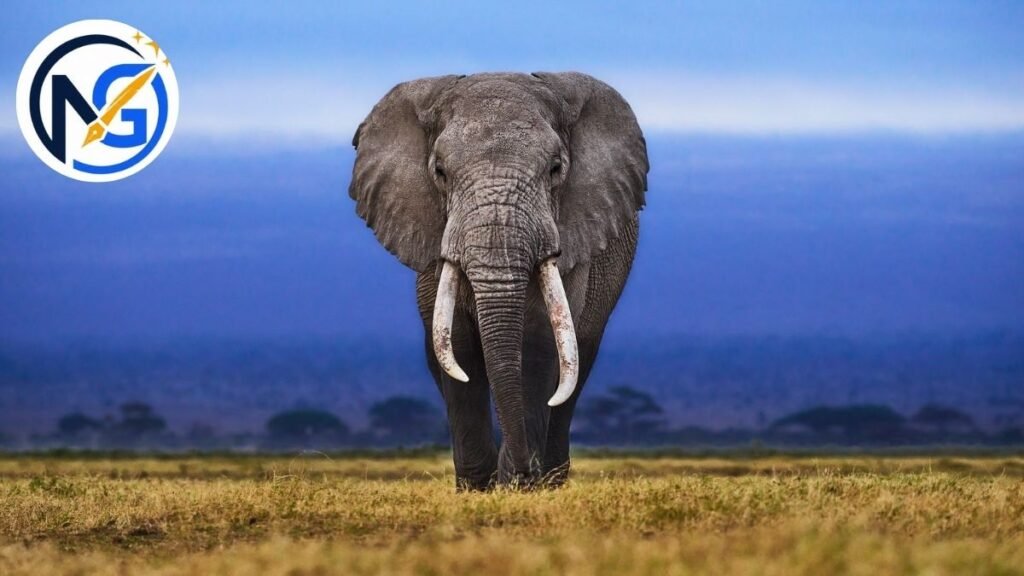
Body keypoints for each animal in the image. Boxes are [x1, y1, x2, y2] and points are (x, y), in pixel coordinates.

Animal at [349, 72, 648, 489]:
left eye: (555, 168)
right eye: (440, 172)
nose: (523, 471)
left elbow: (538, 342)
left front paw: (517, 486)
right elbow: (457, 347)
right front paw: (479, 488)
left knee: (575, 371)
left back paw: (550, 479)